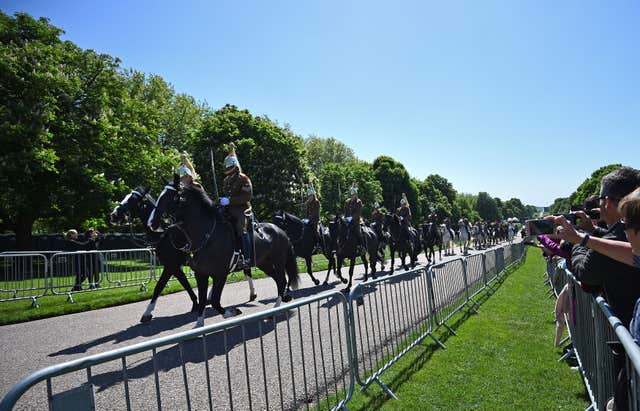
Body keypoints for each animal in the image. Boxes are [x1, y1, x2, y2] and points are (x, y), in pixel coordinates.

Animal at [109, 185, 200, 324]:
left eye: (133, 199)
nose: (114, 215)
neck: (164, 234)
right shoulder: (175, 267)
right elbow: (186, 284)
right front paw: (196, 304)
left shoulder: (170, 267)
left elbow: (159, 286)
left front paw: (147, 313)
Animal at [151, 181, 300, 328]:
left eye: (172, 197)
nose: (153, 222)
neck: (208, 235)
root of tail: (281, 231)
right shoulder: (200, 274)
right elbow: (202, 300)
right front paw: (199, 325)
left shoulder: (220, 275)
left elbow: (215, 301)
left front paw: (232, 312)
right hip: (264, 264)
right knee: (278, 281)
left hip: (278, 261)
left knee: (282, 281)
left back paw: (275, 310)